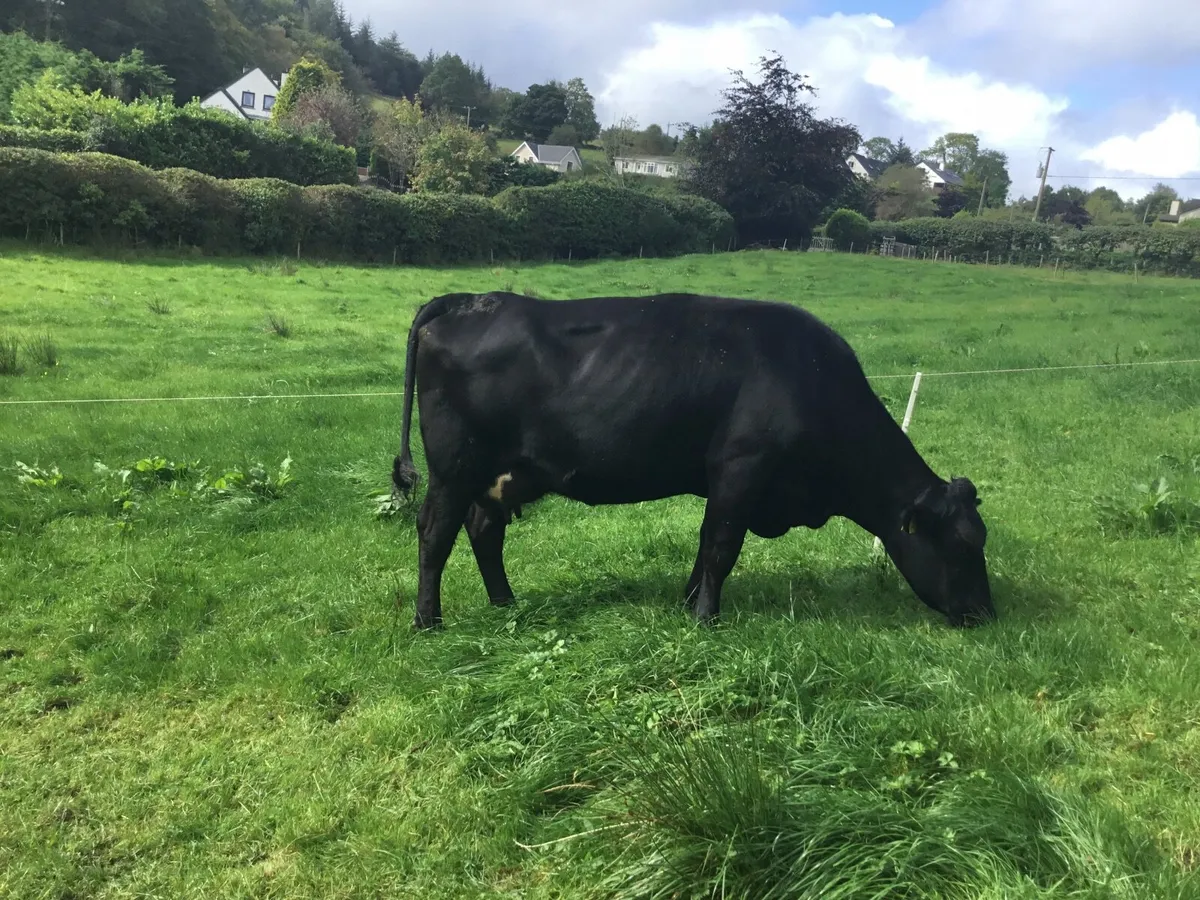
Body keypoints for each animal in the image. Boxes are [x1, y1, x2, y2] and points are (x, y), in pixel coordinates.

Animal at [391, 290, 995, 631]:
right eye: (962, 545)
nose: (986, 614)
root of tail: (469, 299)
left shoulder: (724, 483)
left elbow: (705, 549)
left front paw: (687, 605)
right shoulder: (740, 469)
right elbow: (722, 547)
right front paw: (707, 620)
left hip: (503, 474)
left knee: (483, 528)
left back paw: (505, 603)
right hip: (453, 467)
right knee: (435, 532)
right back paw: (428, 621)